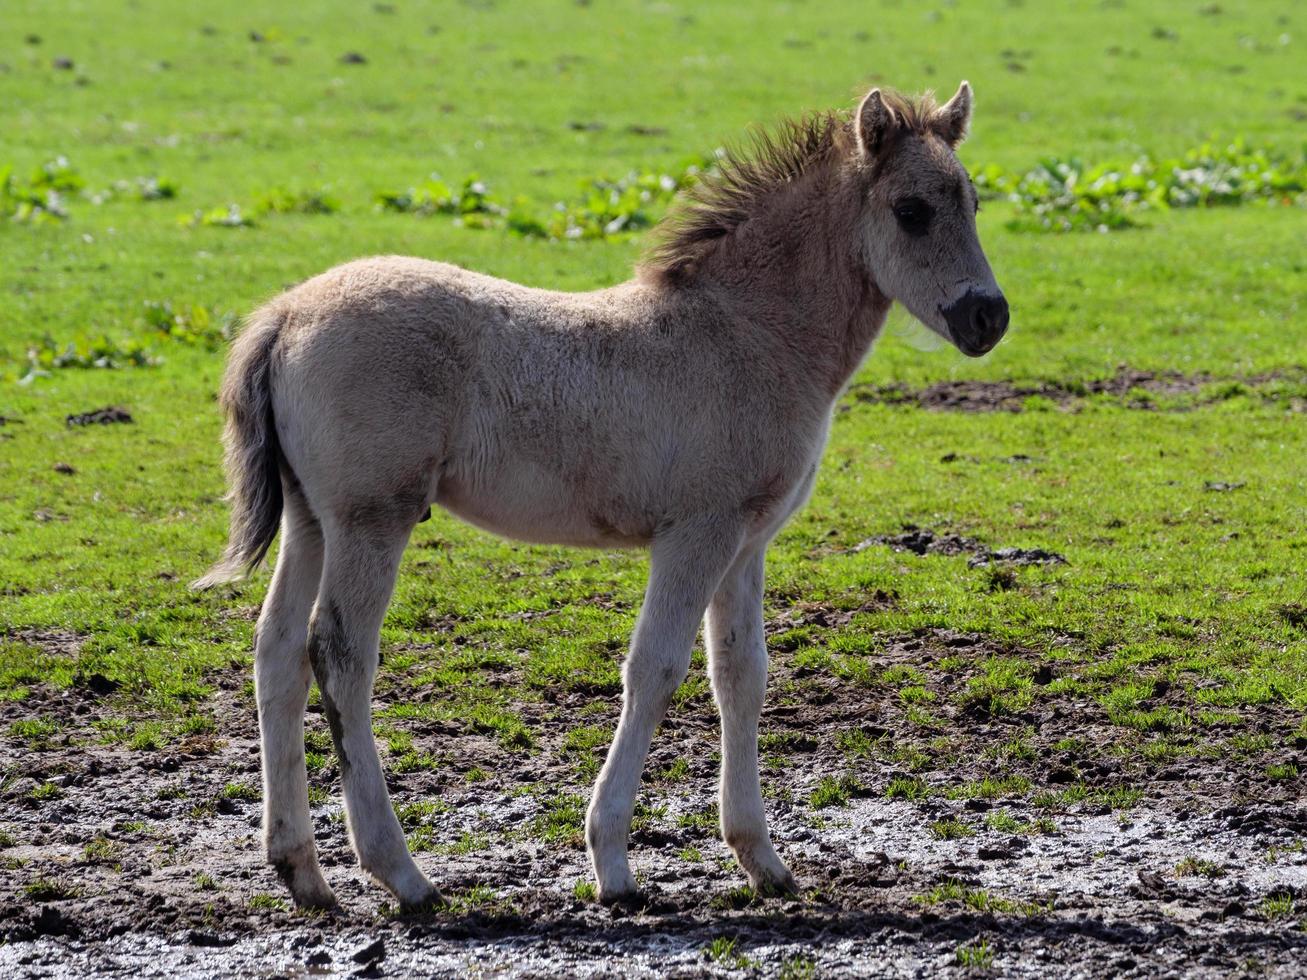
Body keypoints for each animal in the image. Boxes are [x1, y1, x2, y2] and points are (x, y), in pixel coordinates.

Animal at [193, 80, 1009, 909]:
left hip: (312, 520)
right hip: (372, 519)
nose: (988, 315)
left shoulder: (746, 540)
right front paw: (613, 864)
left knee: (277, 651)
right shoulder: (697, 533)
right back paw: (403, 873)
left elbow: (741, 676)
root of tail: (284, 313)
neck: (748, 333)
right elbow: (654, 670)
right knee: (339, 655)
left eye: (972, 201)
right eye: (910, 209)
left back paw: (301, 870)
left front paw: (762, 859)